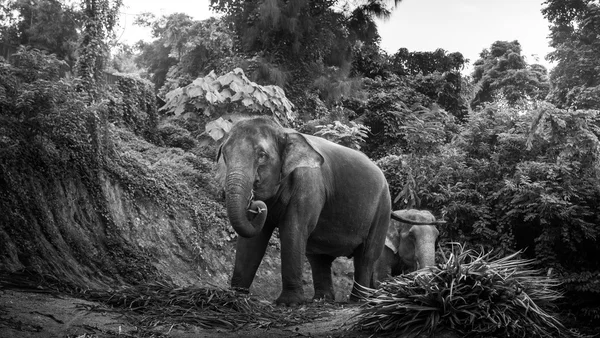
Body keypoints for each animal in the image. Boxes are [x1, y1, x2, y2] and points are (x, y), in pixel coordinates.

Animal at [214, 117, 390, 306]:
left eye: (262, 155)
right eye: (225, 154)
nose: (257, 206)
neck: (283, 131)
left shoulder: (308, 185)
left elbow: (294, 229)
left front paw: (288, 303)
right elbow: (253, 239)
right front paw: (236, 295)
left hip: (382, 210)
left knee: (366, 257)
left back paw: (358, 301)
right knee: (319, 258)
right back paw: (321, 300)